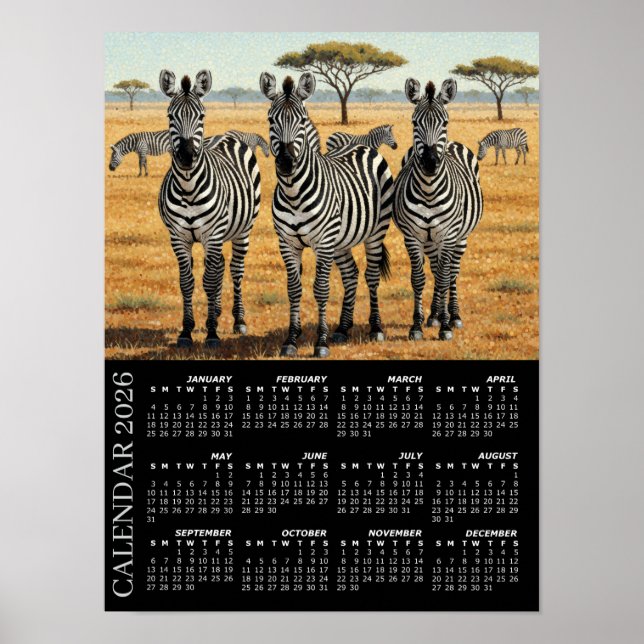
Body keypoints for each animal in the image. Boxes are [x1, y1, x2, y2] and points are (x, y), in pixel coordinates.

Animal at [158, 69, 261, 348]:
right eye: (170, 116)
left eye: (201, 115)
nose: (186, 156)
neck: (188, 188)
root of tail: (225, 136)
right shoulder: (178, 237)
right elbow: (187, 282)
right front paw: (186, 331)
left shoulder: (212, 235)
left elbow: (210, 281)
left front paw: (212, 333)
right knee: (220, 266)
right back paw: (215, 312)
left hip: (243, 230)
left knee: (235, 270)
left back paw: (238, 320)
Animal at [260, 72, 394, 358]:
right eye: (270, 120)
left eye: (301, 121)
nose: (286, 162)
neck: (294, 192)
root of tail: (364, 147)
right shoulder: (286, 243)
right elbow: (293, 289)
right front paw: (291, 339)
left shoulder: (323, 242)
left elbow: (321, 289)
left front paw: (320, 343)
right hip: (341, 240)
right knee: (351, 274)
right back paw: (342, 329)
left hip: (375, 232)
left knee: (371, 275)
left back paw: (376, 328)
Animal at [393, 78, 483, 341]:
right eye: (414, 122)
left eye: (445, 122)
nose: (431, 163)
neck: (429, 191)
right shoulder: (412, 237)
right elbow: (418, 278)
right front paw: (417, 325)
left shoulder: (448, 235)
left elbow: (444, 278)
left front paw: (445, 326)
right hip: (430, 240)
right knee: (435, 268)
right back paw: (434, 314)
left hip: (460, 238)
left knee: (452, 272)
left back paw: (453, 315)